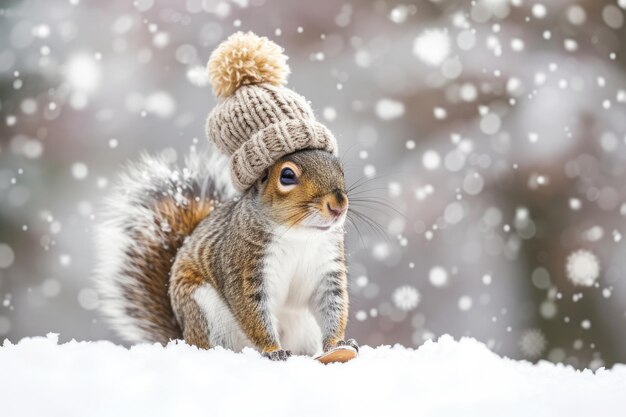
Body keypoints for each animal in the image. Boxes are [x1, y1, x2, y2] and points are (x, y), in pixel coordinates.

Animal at [92, 32, 356, 360]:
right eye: (287, 176)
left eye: (340, 167)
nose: (338, 205)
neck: (299, 235)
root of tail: (182, 337)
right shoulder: (243, 266)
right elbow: (252, 312)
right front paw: (273, 350)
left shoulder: (327, 269)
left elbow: (334, 306)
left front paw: (338, 344)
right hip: (204, 308)